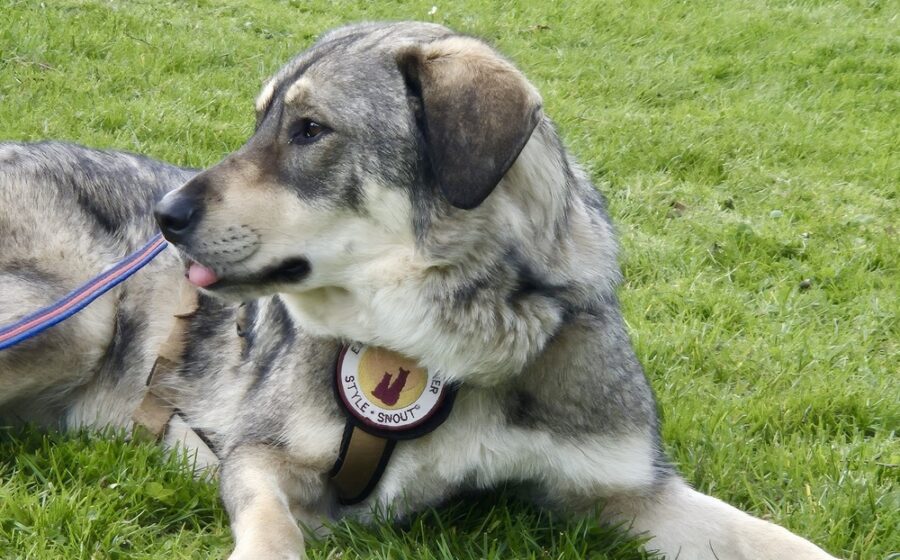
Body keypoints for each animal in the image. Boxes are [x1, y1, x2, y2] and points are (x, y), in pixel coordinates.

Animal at [0, 22, 838, 560]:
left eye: (309, 129)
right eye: (261, 122)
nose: (164, 218)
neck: (445, 344)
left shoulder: (631, 490)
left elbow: (780, 541)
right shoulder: (261, 456)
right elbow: (274, 529)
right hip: (78, 325)